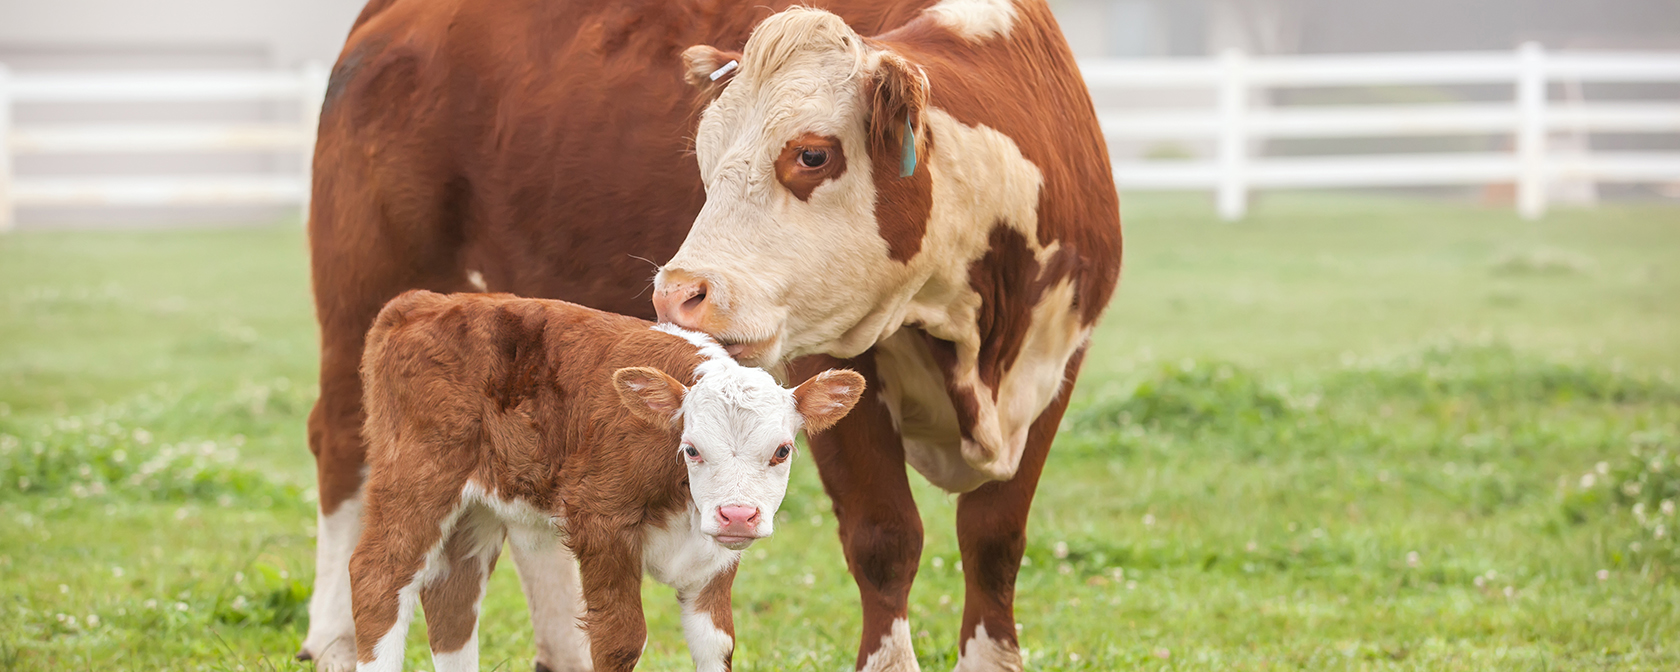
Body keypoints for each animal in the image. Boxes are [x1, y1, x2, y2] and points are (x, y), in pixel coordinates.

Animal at [347, 290, 860, 672]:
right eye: (692, 448)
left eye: (782, 450)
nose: (737, 514)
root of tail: (424, 302)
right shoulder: (600, 522)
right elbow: (620, 640)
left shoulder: (714, 557)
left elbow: (716, 642)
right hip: (418, 478)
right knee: (379, 577)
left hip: (478, 507)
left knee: (453, 595)